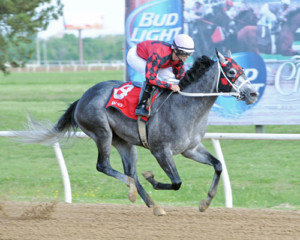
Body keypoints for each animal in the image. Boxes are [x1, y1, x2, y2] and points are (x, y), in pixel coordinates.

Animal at [17, 50, 258, 216]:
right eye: (232, 72)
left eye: (243, 70)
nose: (253, 93)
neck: (185, 105)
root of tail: (83, 97)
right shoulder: (161, 150)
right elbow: (176, 182)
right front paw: (152, 177)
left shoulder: (191, 148)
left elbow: (218, 165)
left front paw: (206, 202)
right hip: (102, 132)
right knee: (104, 166)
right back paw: (133, 192)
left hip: (125, 142)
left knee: (130, 172)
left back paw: (154, 205)